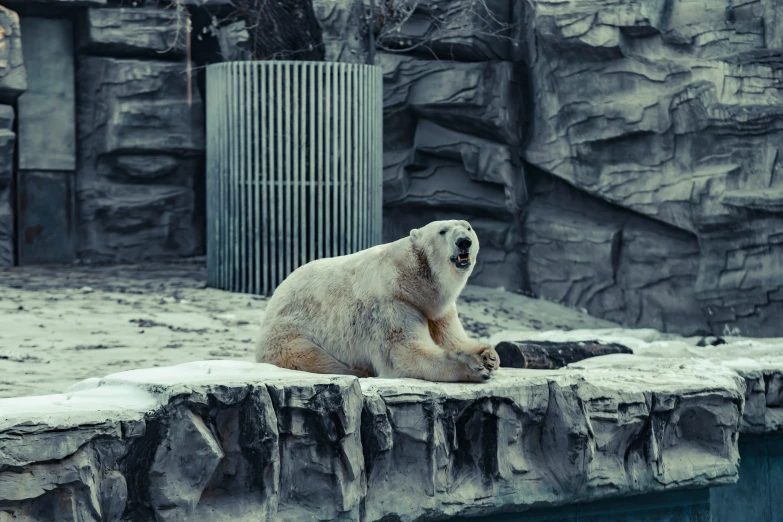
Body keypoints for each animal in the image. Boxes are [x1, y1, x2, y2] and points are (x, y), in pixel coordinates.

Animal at [258, 217, 502, 380]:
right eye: (442, 231)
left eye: (468, 227)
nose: (464, 241)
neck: (415, 282)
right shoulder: (391, 305)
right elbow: (405, 355)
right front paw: (474, 367)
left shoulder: (437, 310)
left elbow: (451, 338)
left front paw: (488, 356)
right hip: (289, 334)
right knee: (313, 357)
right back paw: (357, 370)